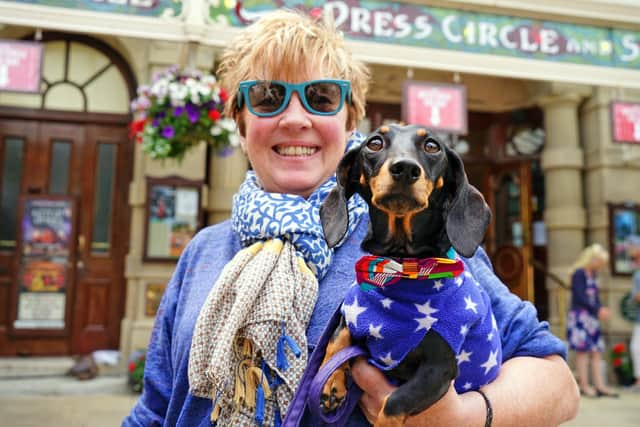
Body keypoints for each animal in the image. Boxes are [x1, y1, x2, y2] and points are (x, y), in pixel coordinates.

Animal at [320, 123, 496, 424]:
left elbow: (394, 402)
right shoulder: (355, 313)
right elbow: (338, 339)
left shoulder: (439, 369)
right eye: (374, 142)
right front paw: (332, 381)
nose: (405, 168)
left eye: (432, 146)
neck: (399, 270)